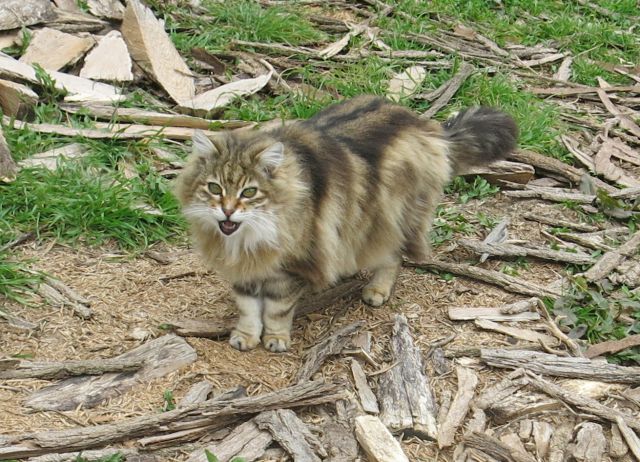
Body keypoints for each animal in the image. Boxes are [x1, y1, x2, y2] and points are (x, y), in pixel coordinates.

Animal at [175, 95, 520, 352]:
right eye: (214, 188)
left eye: (249, 192)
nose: (227, 211)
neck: (246, 238)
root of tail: (427, 127)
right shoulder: (246, 271)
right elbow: (248, 308)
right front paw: (246, 337)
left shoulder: (290, 268)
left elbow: (275, 310)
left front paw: (275, 338)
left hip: (389, 217)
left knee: (392, 257)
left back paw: (376, 291)